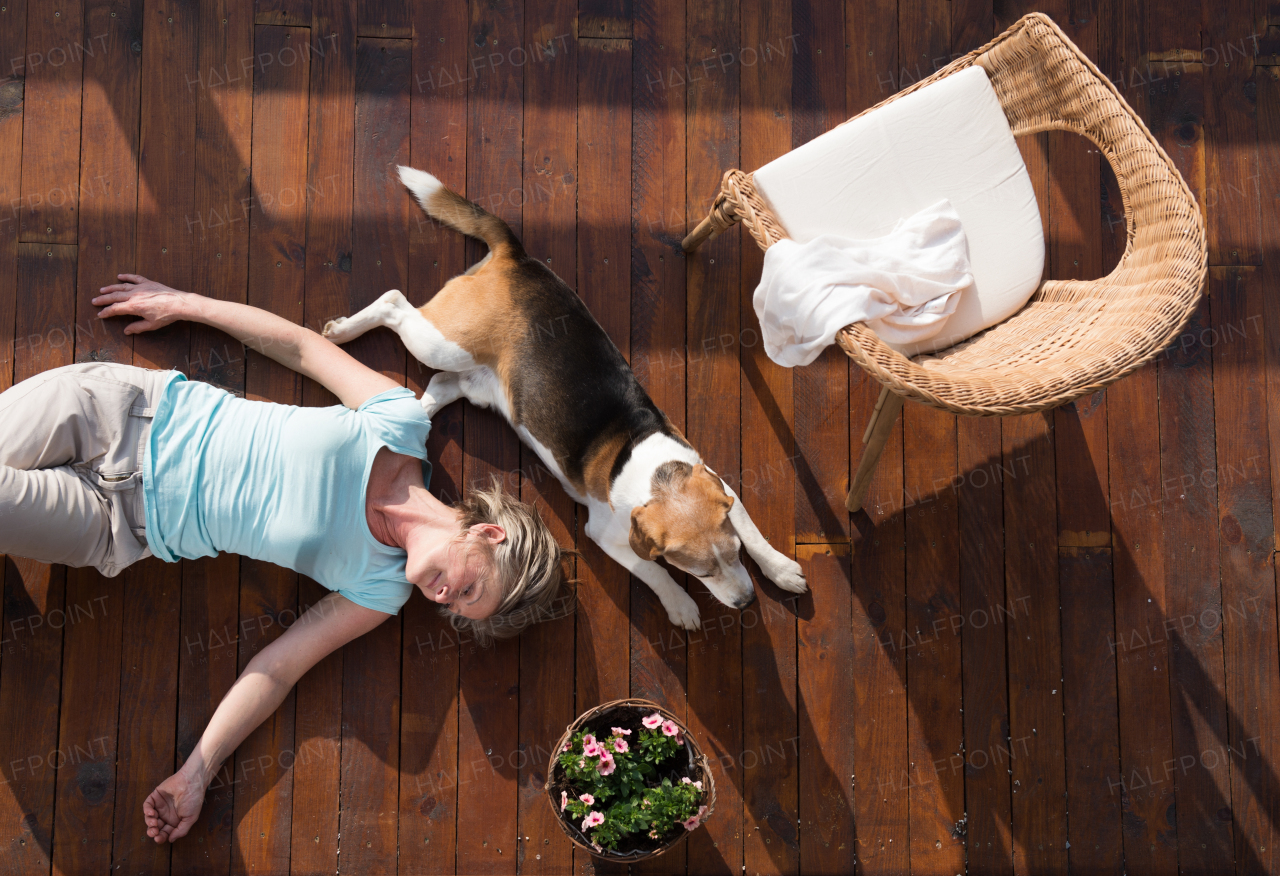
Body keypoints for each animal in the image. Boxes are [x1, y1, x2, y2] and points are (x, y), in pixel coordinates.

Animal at [320, 166, 803, 630]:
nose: (746, 602)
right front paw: (680, 605)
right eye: (700, 572)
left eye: (735, 554)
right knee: (393, 302)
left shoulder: (722, 486)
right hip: (441, 342)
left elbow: (753, 529)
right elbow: (653, 571)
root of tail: (517, 257)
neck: (656, 476)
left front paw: (779, 568)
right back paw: (343, 333)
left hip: (471, 381)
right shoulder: (607, 536)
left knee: (436, 387)